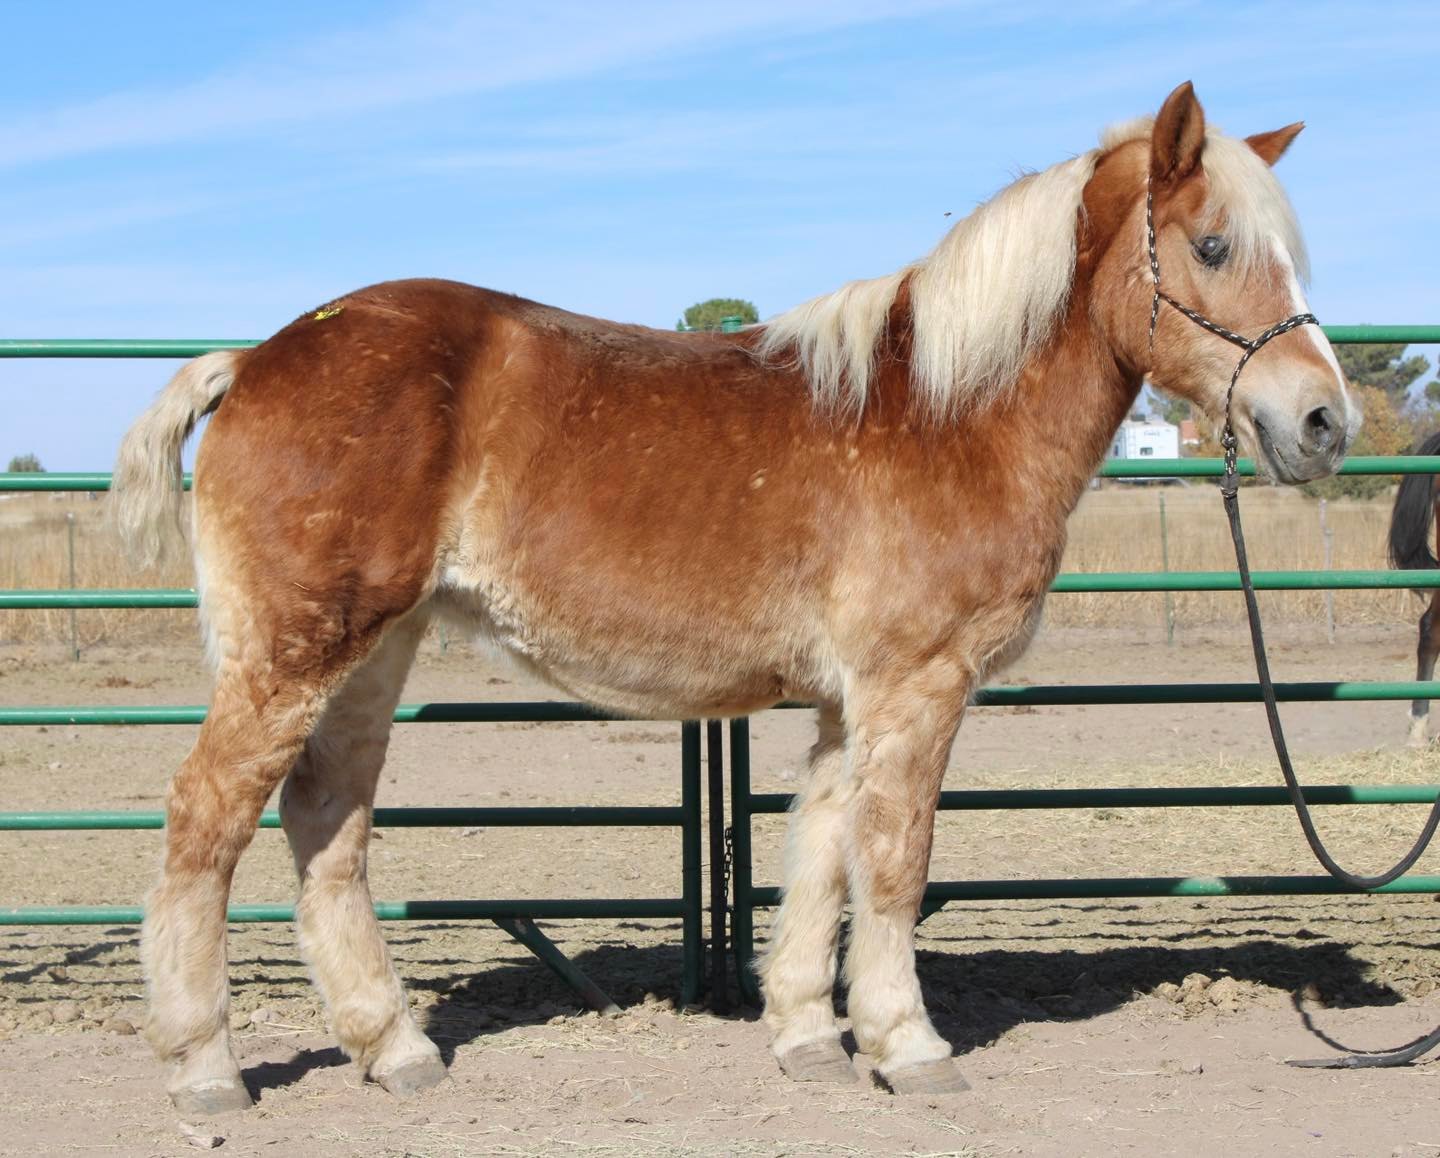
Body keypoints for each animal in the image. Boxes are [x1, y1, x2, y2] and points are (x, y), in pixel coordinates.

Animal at [112, 81, 1357, 1113]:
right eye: (1212, 245)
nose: (1323, 422)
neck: (946, 411)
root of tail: (255, 361)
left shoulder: (852, 704)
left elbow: (820, 854)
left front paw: (810, 1037)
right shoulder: (917, 689)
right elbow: (894, 862)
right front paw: (909, 1047)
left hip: (375, 652)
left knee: (328, 822)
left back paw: (394, 1048)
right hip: (295, 655)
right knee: (205, 820)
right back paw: (207, 1067)